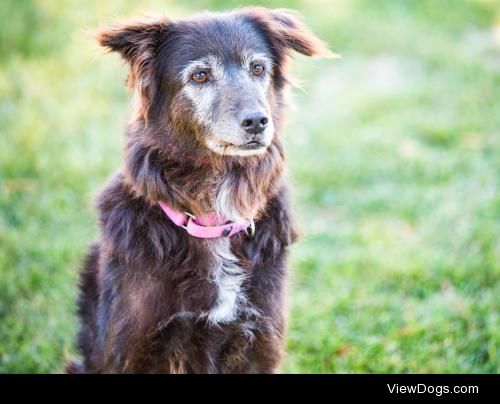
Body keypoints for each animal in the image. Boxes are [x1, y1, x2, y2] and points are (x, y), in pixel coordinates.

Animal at [67, 6, 332, 374]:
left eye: (258, 68)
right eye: (200, 76)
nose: (257, 121)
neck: (211, 221)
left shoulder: (258, 339)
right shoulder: (133, 349)